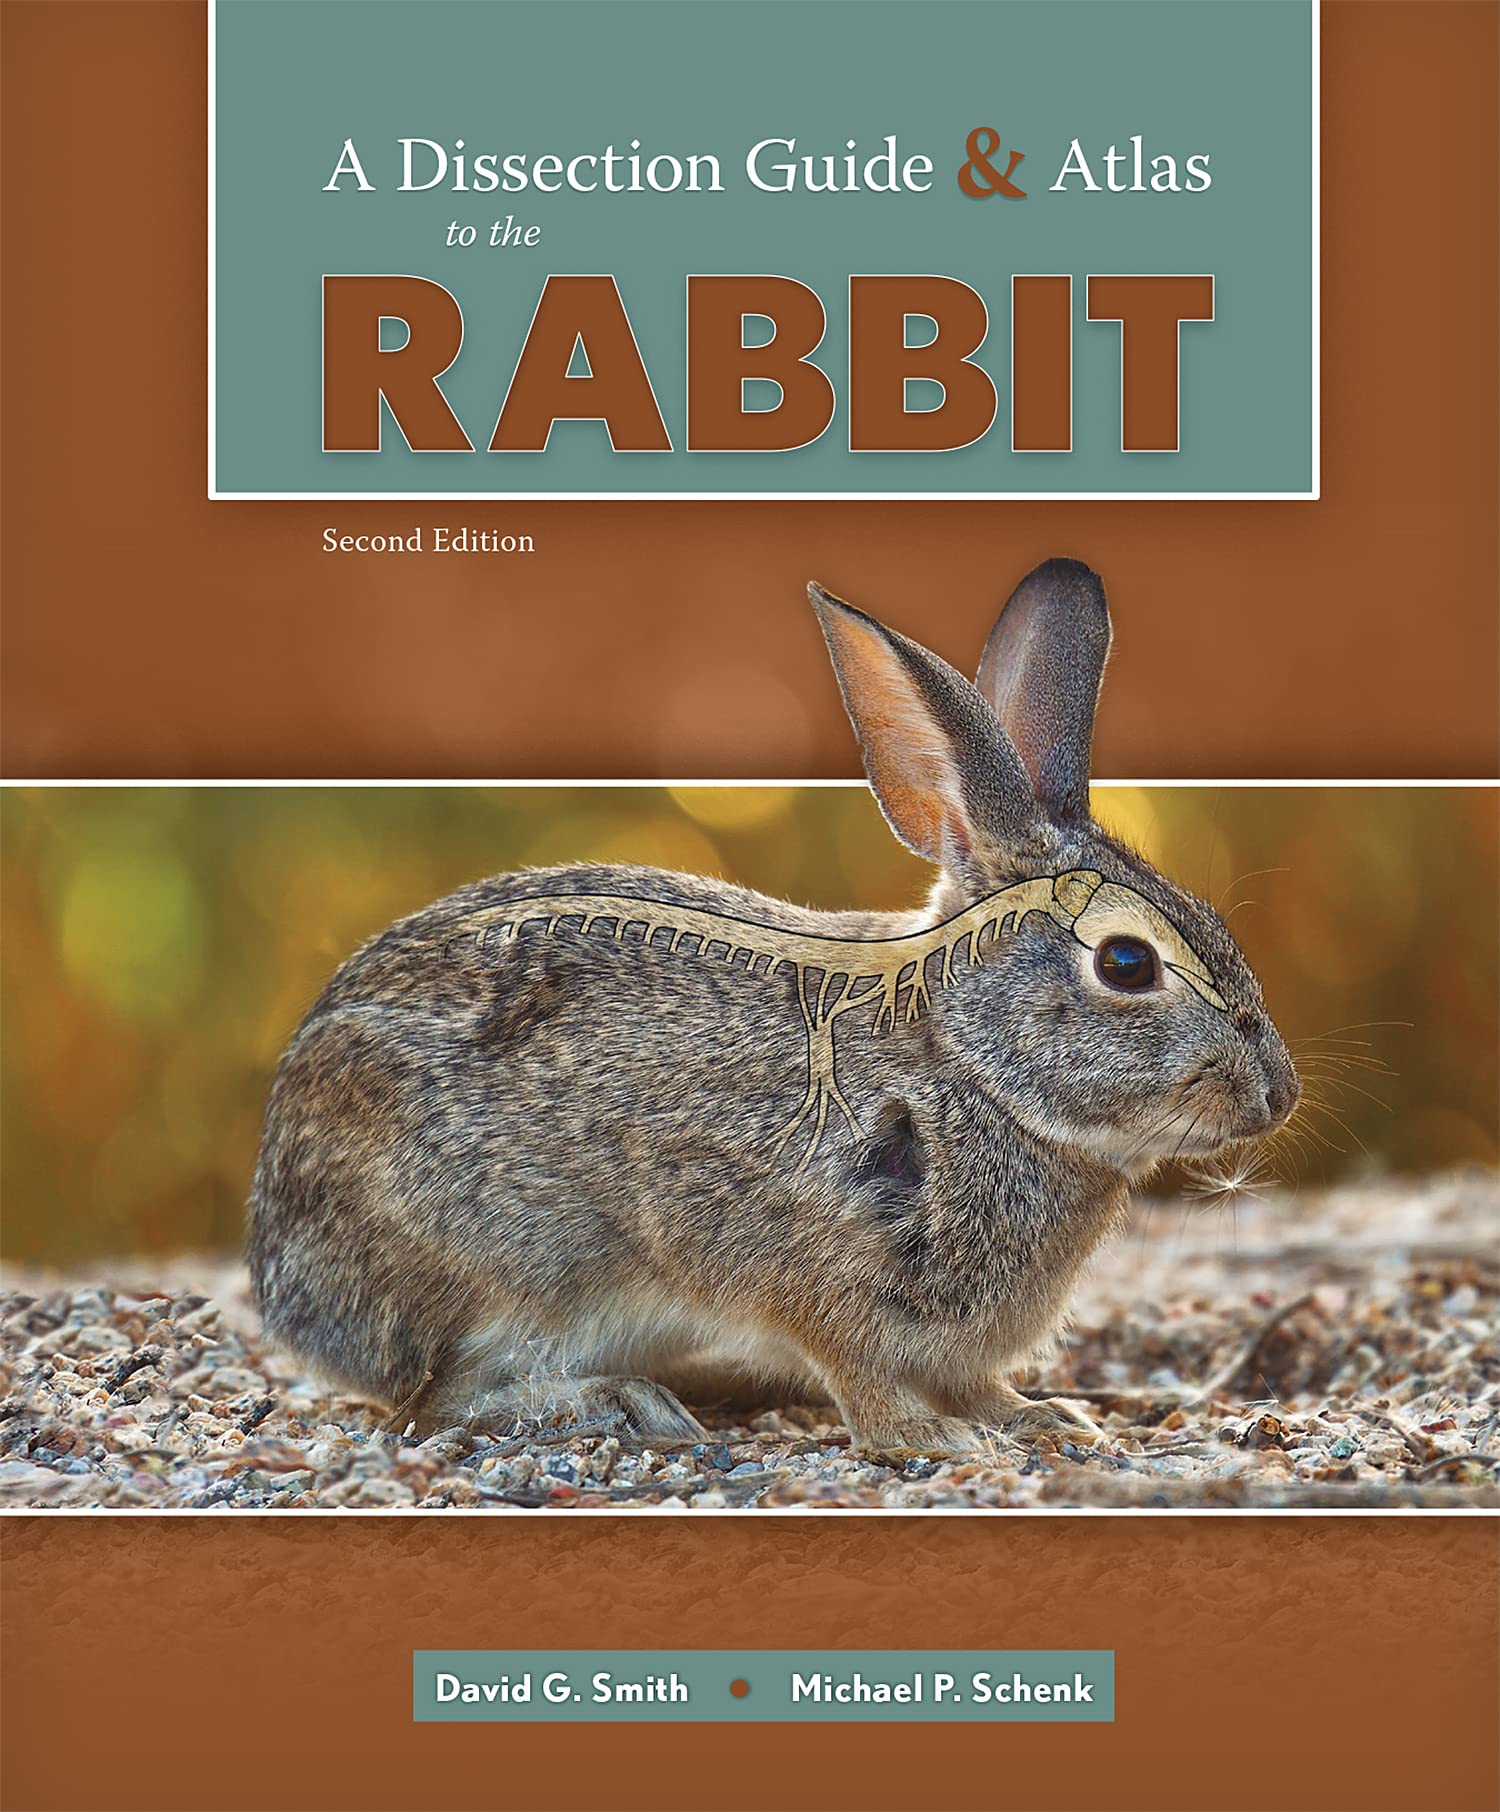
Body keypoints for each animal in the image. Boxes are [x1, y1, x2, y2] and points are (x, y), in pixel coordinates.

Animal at [247, 557, 1298, 1454]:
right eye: (1126, 962)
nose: (1275, 1096)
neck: (964, 1062)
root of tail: (284, 1275)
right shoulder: (786, 1255)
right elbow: (846, 1358)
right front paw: (926, 1438)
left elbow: (975, 1382)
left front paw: (1041, 1416)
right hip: (511, 1271)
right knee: (437, 1404)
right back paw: (618, 1402)